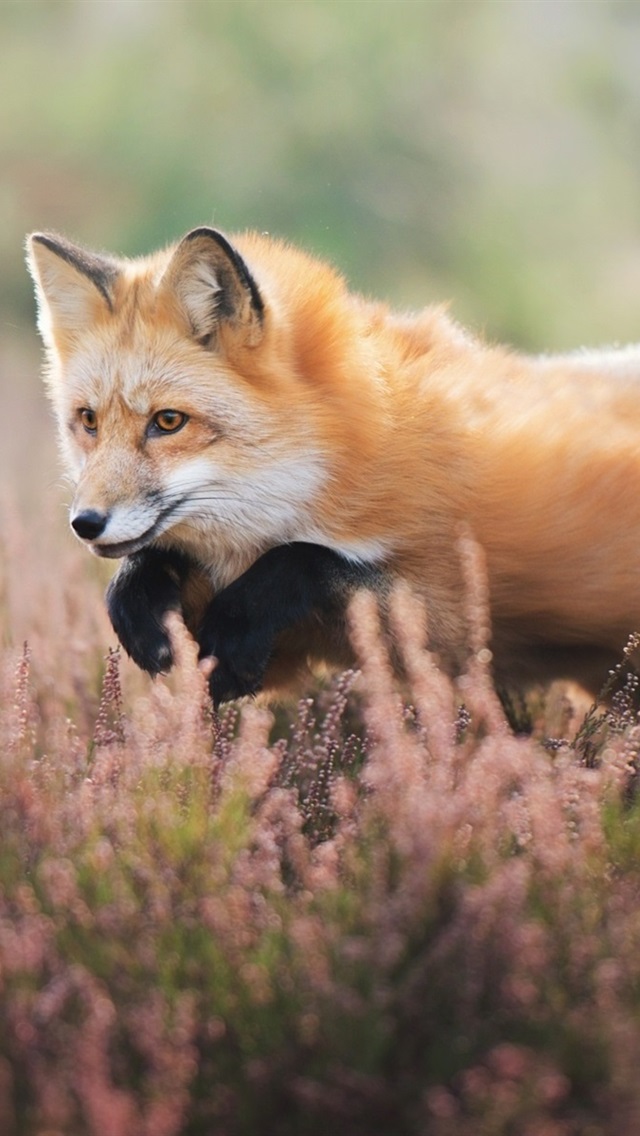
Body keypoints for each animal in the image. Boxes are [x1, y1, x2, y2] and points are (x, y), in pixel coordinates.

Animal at [26, 222, 640, 704]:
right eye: (88, 421)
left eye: (169, 422)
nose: (85, 524)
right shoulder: (280, 653)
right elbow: (160, 564)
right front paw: (136, 600)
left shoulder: (465, 624)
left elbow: (310, 559)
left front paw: (241, 610)